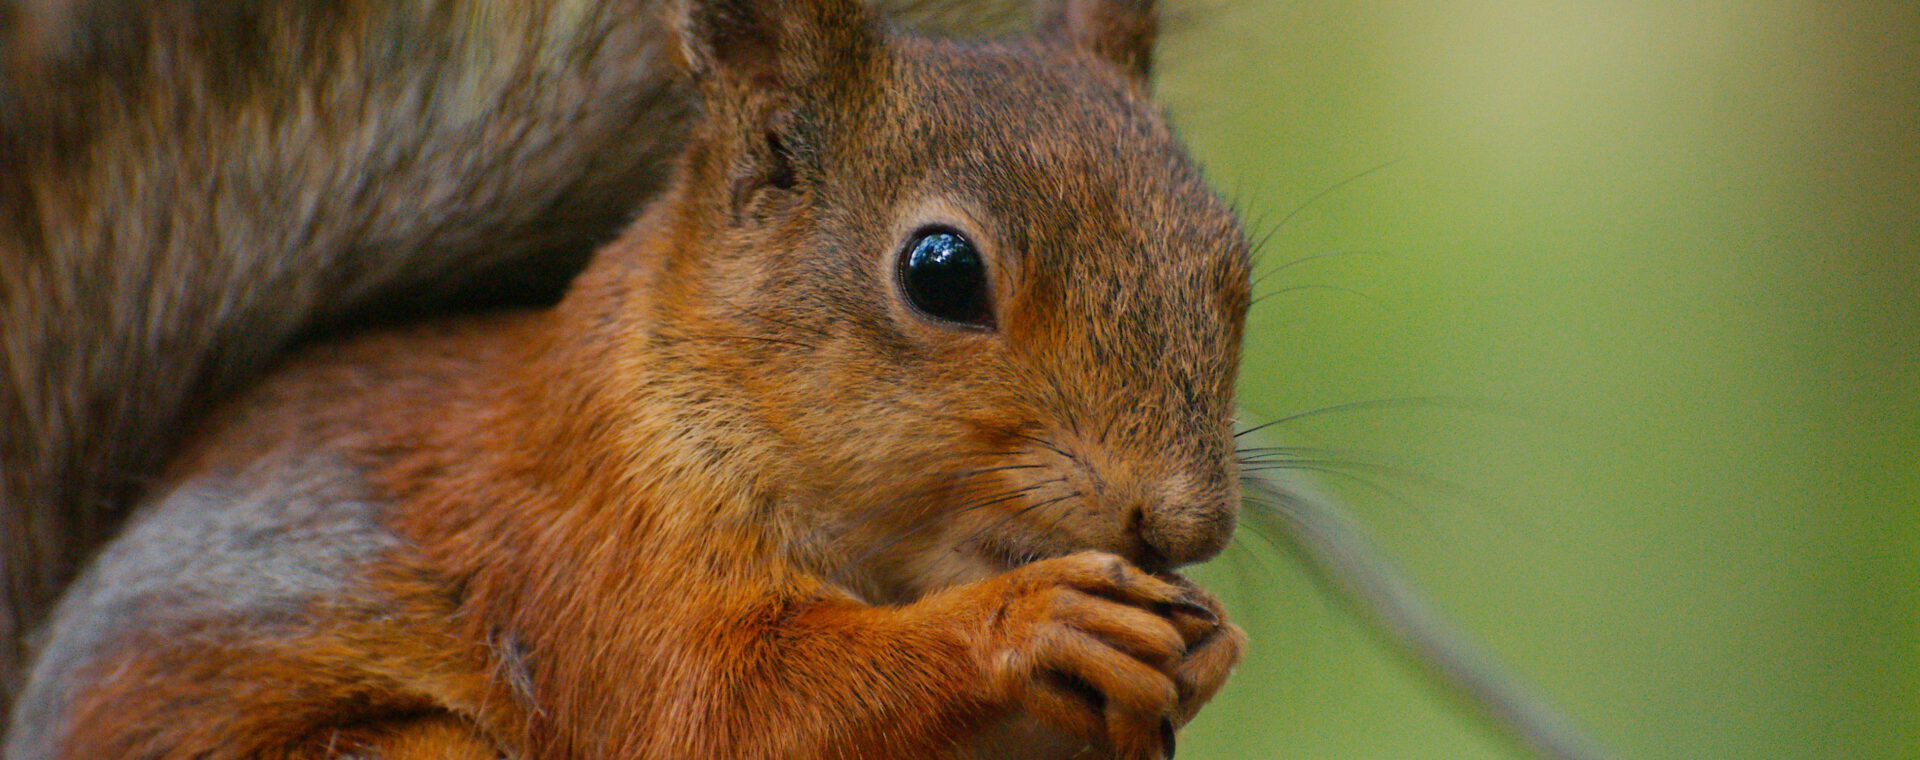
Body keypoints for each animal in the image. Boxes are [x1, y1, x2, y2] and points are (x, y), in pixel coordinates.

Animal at [5, 0, 1256, 757]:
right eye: (940, 272)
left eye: (1231, 259)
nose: (1184, 524)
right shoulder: (588, 551)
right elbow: (719, 706)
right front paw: (1032, 615)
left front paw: (1205, 646)